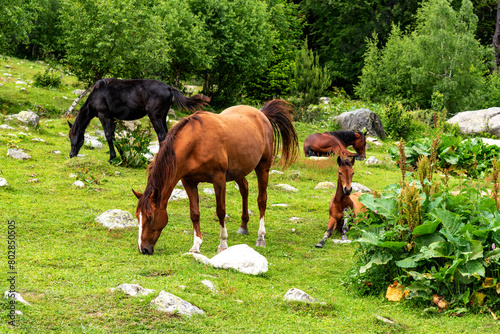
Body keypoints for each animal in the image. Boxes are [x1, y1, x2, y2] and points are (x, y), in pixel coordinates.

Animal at [131, 99, 298, 256]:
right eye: (138, 217)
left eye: (150, 217)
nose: (143, 249)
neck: (196, 143)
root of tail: (261, 114)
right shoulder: (188, 182)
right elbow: (194, 213)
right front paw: (196, 246)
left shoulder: (219, 180)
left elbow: (220, 211)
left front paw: (222, 244)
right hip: (239, 170)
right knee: (244, 190)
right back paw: (243, 226)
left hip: (263, 167)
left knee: (262, 200)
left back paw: (261, 237)